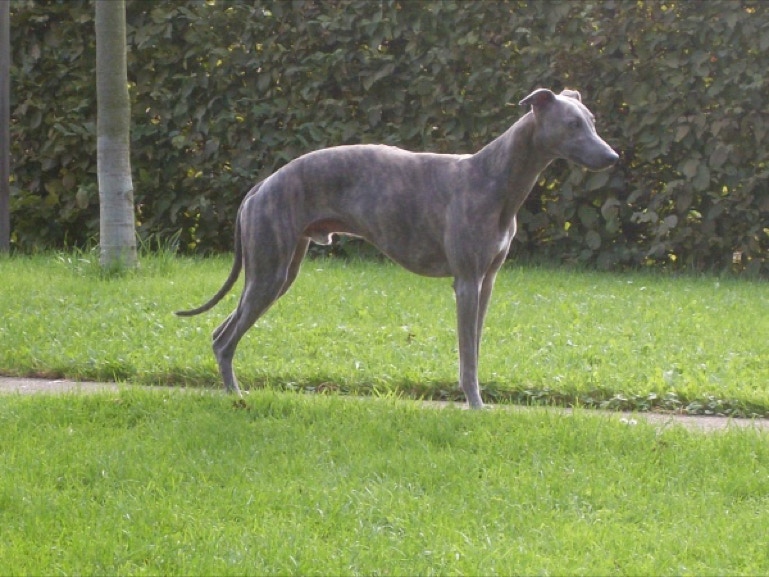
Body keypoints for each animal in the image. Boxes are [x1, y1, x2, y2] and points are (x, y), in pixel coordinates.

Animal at [176, 88, 619, 408]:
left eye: (592, 121)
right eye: (571, 123)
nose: (613, 157)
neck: (494, 177)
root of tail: (259, 187)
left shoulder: (488, 281)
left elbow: (475, 347)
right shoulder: (466, 281)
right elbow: (467, 357)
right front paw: (476, 407)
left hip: (280, 272)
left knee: (220, 331)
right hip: (269, 271)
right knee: (224, 339)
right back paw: (235, 397)